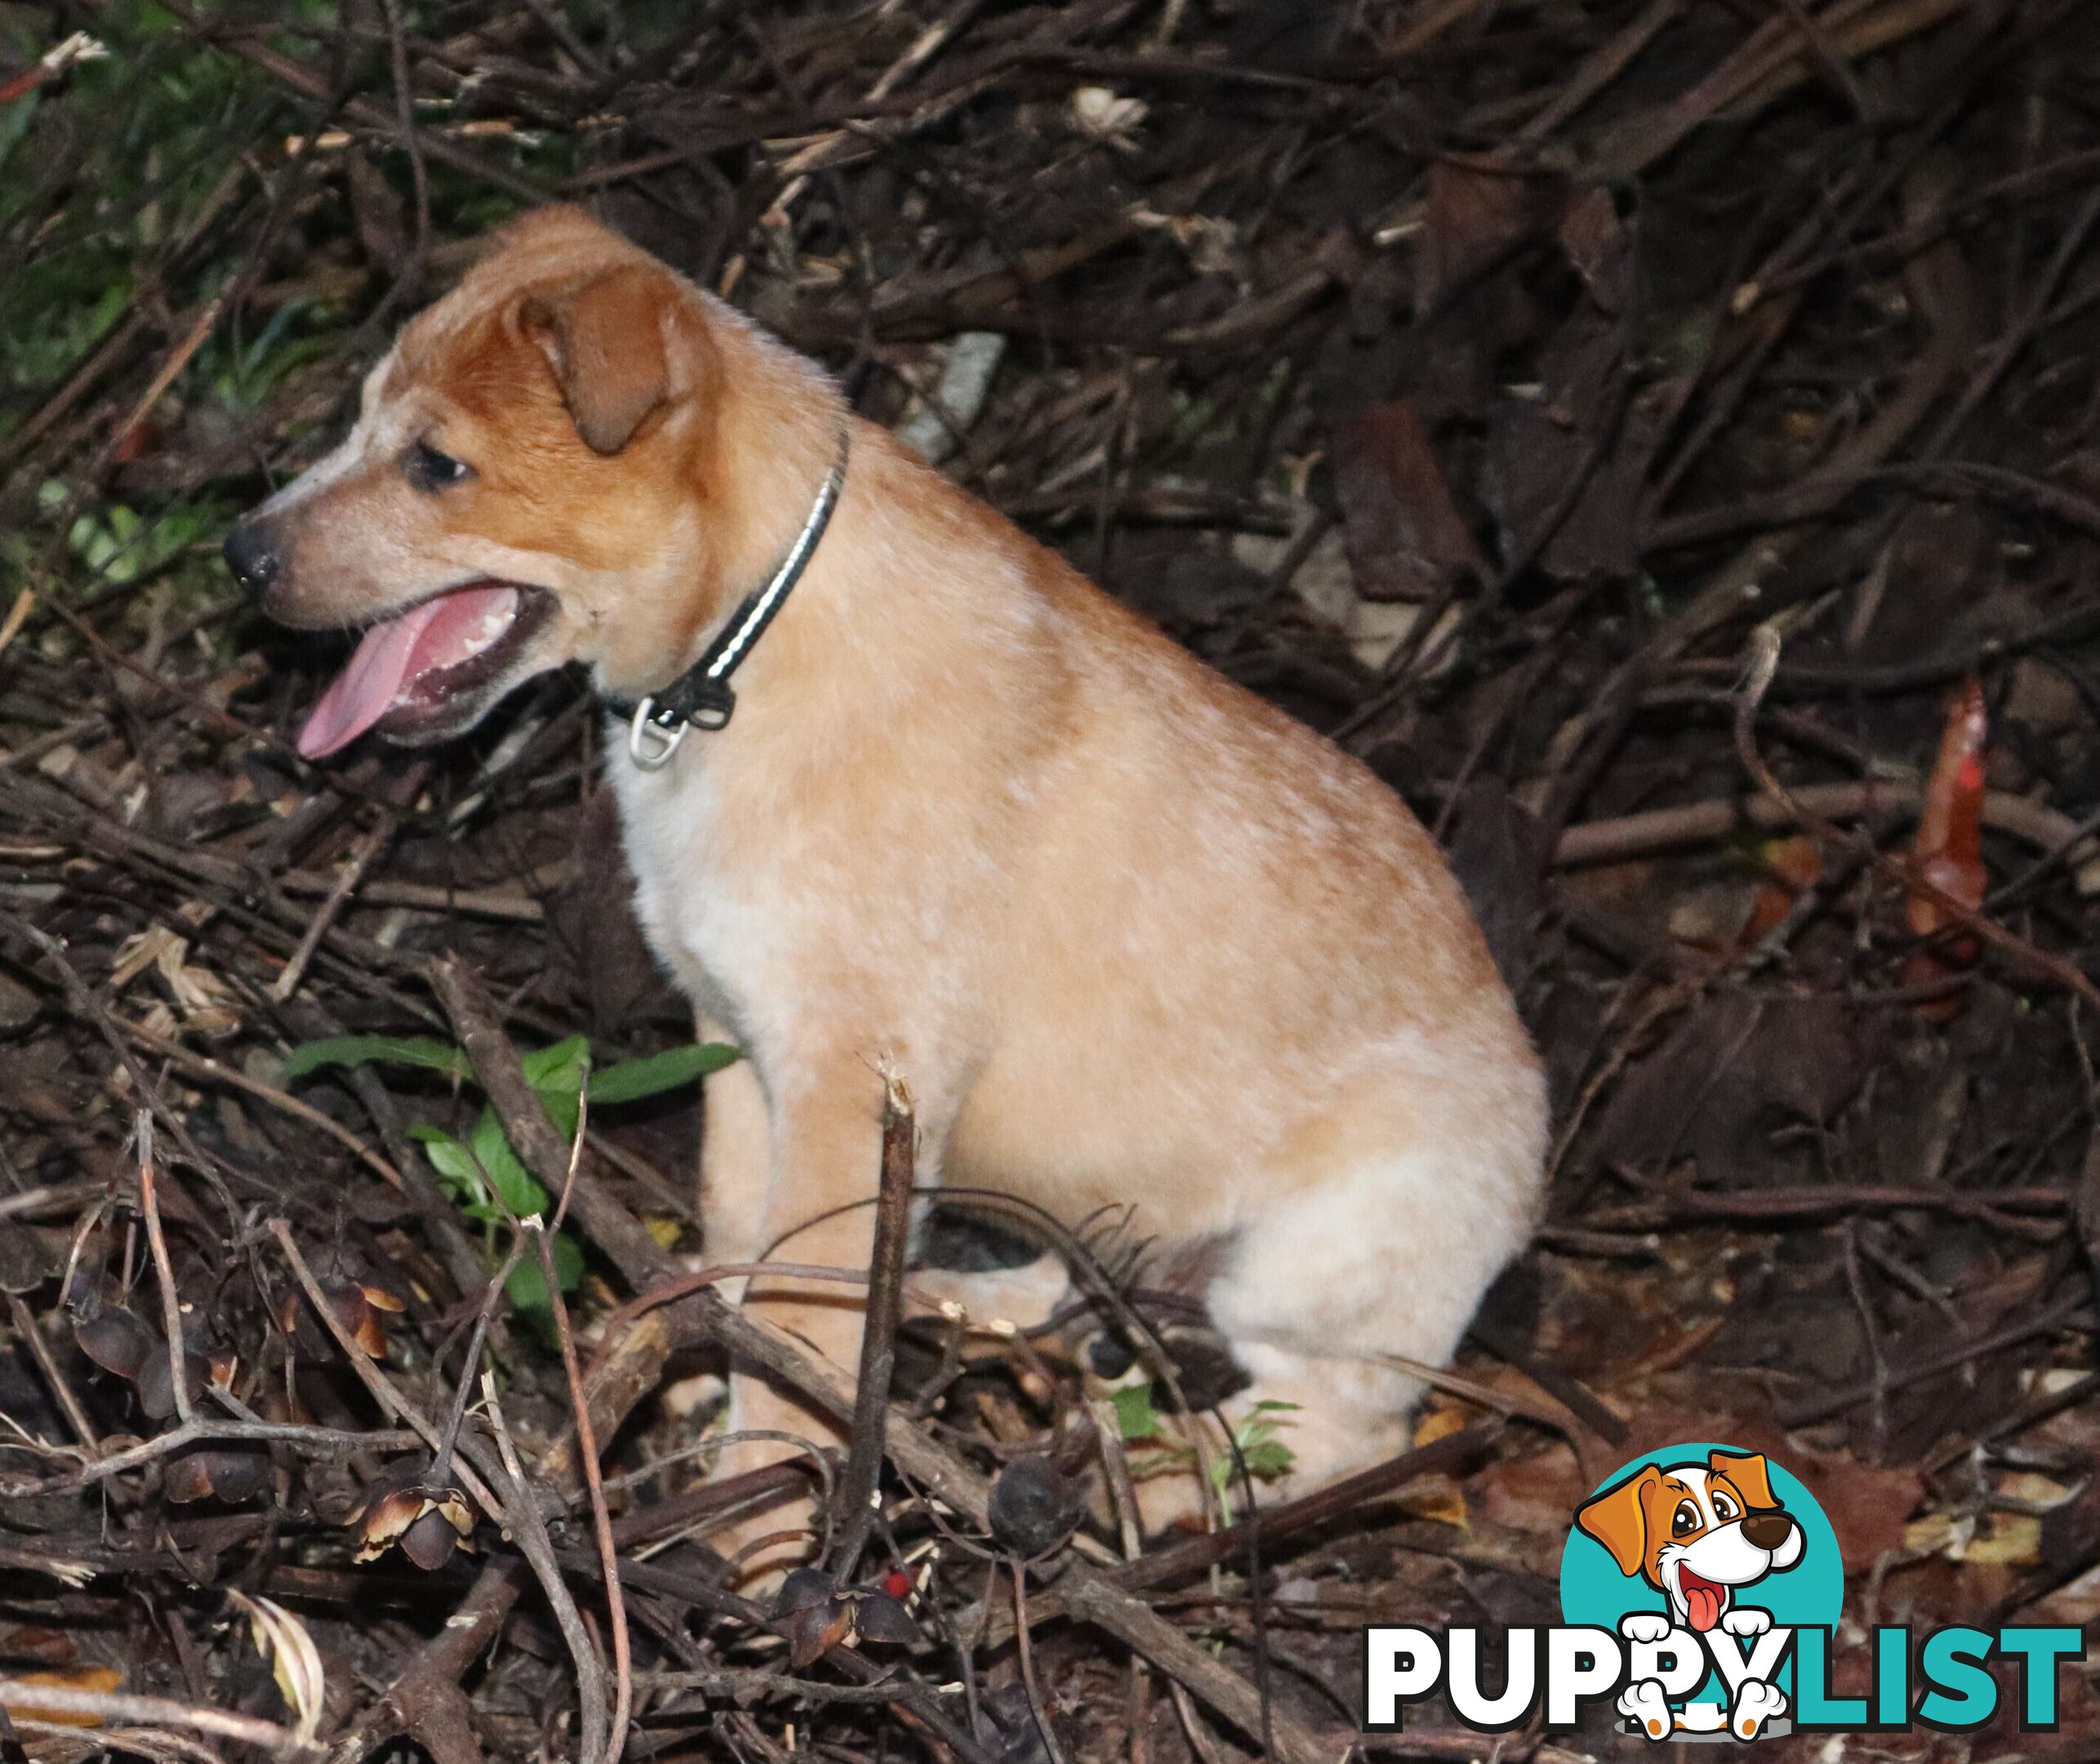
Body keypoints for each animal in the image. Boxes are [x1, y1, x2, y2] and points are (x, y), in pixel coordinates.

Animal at [229, 210, 1554, 1588]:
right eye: (360, 414)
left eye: (439, 464)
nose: (240, 556)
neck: (741, 651)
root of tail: (1535, 1162)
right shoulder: (740, 1047)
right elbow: (746, 1251)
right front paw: (707, 1369)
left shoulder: (851, 1085)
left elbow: (798, 1318)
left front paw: (753, 1533)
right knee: (1075, 1288)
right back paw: (968, 1312)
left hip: (1307, 1273)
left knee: (1340, 1428)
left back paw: (1162, 1478)